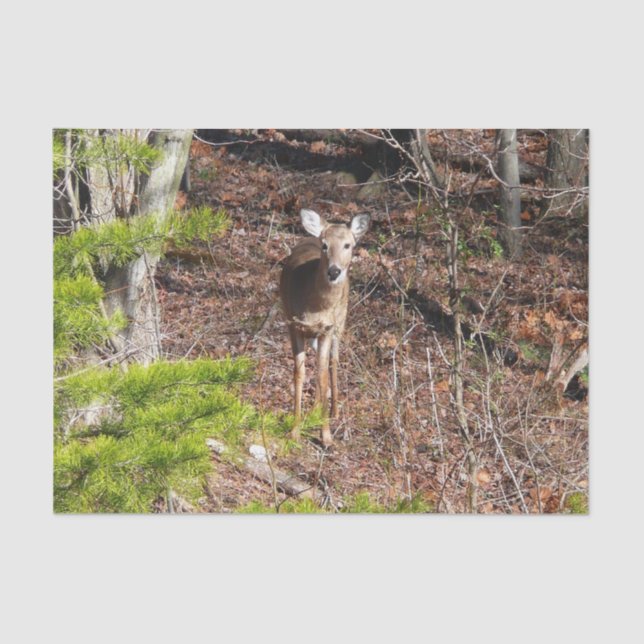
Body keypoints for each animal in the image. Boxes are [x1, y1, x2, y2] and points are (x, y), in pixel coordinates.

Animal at [280, 208, 370, 447]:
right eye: (325, 245)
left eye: (348, 245)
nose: (334, 271)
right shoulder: (294, 324)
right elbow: (299, 373)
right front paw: (294, 431)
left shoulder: (327, 329)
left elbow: (321, 375)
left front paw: (326, 436)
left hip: (341, 322)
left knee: (333, 362)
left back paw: (333, 411)